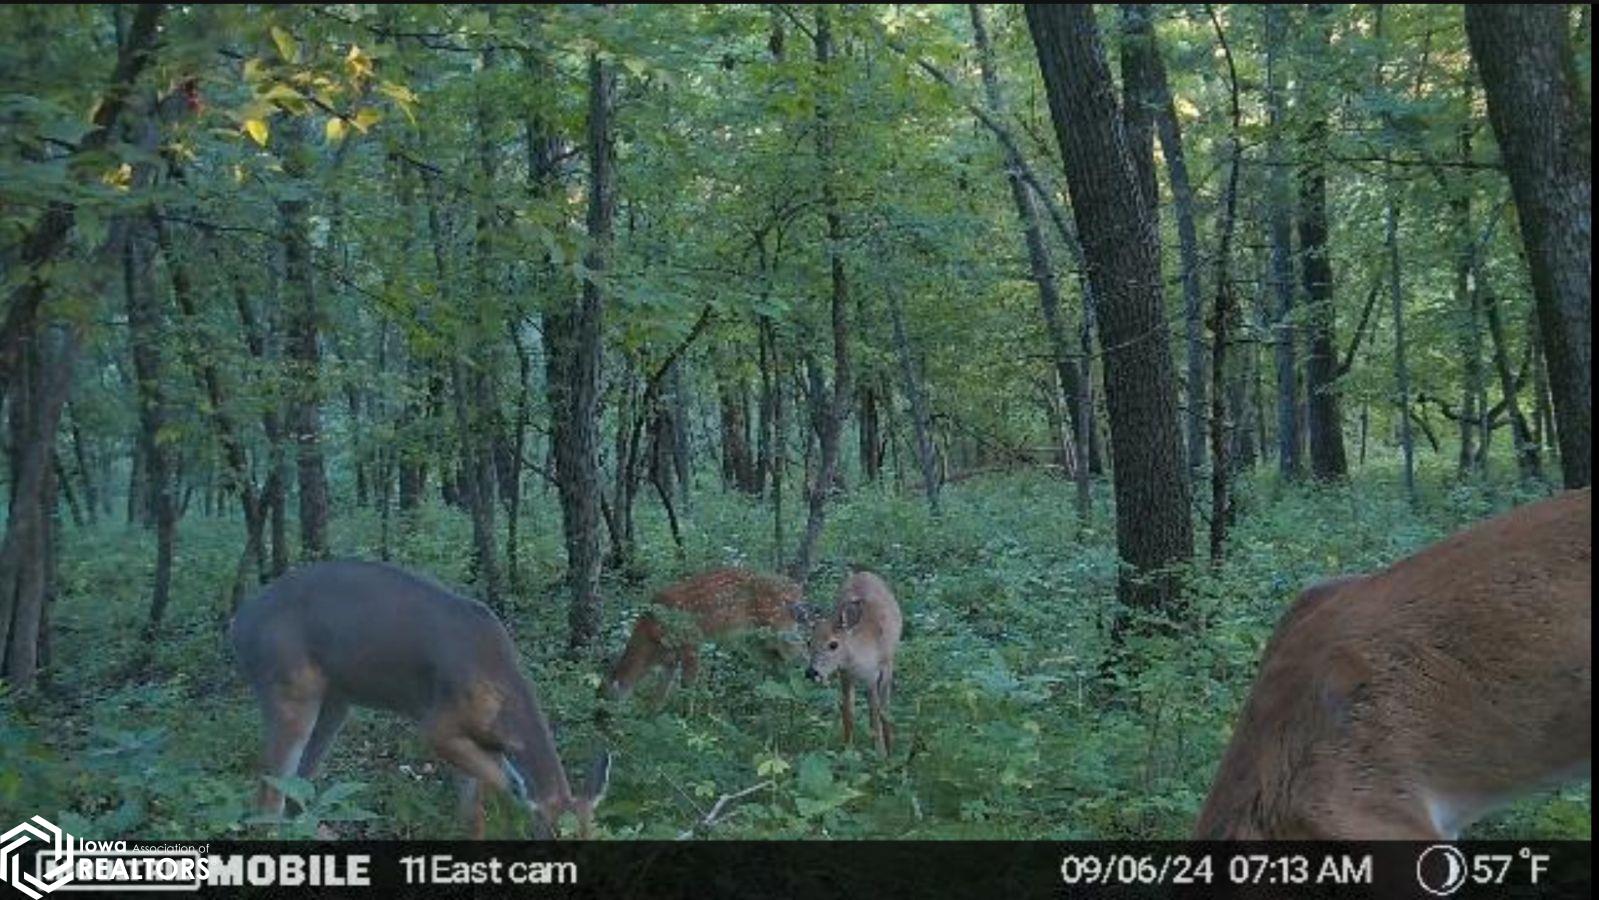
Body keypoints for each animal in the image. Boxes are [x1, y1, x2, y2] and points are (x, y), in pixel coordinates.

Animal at [231, 559, 610, 844]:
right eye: (554, 837)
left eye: (593, 835)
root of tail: (237, 625)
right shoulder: (437, 726)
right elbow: (501, 783)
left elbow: (471, 815)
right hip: (289, 689)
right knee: (268, 795)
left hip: (335, 703)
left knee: (299, 787)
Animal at [601, 565, 805, 700]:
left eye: (605, 697)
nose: (600, 715)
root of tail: (796, 590)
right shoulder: (670, 655)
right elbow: (661, 693)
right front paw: (651, 717)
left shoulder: (691, 640)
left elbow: (687, 683)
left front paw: (687, 718)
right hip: (755, 641)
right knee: (778, 666)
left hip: (779, 628)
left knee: (801, 653)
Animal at [805, 575, 908, 757]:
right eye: (809, 642)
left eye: (833, 644)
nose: (811, 672)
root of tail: (864, 573)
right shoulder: (845, 674)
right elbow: (848, 711)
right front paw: (848, 750)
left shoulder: (875, 674)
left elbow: (875, 712)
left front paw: (881, 753)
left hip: (889, 663)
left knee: (885, 706)